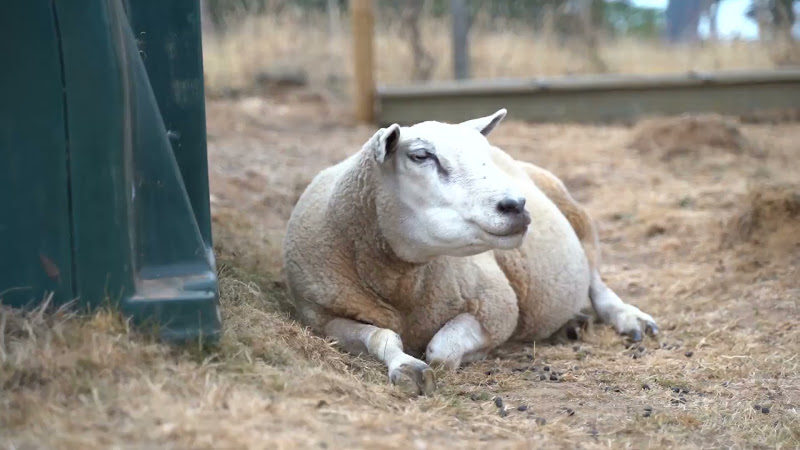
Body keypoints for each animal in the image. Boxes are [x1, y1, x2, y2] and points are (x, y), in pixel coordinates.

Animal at [282, 109, 658, 396]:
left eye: (484, 156)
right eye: (420, 156)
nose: (515, 205)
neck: (400, 288)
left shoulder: (498, 307)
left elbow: (439, 352)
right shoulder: (322, 317)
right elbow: (382, 336)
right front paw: (406, 368)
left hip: (578, 219)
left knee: (596, 281)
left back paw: (628, 318)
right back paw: (574, 323)